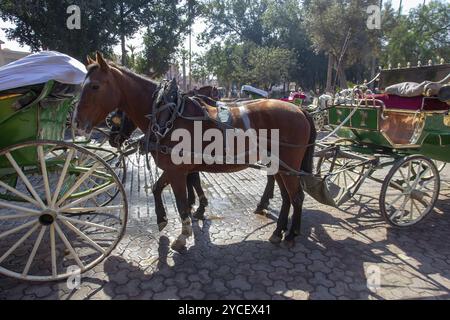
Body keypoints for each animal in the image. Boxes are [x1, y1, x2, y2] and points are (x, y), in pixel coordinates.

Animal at [75, 52, 314, 251]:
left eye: (94, 86)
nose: (77, 122)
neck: (168, 115)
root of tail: (299, 109)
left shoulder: (177, 172)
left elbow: (181, 202)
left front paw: (183, 235)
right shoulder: (175, 169)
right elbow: (157, 187)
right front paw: (162, 218)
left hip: (287, 165)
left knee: (297, 196)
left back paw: (291, 234)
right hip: (279, 166)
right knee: (286, 196)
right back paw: (278, 231)